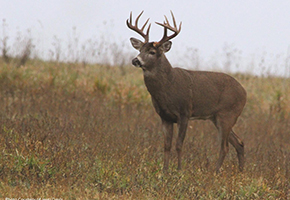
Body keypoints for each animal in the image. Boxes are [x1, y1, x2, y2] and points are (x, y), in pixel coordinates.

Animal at [125, 11, 246, 173]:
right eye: (139, 50)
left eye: (152, 52)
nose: (135, 60)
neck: (168, 88)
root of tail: (244, 92)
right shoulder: (165, 116)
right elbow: (166, 145)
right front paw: (164, 171)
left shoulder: (185, 112)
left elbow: (178, 144)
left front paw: (179, 170)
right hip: (216, 117)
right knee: (239, 142)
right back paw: (240, 172)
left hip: (227, 114)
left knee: (225, 146)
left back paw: (215, 172)